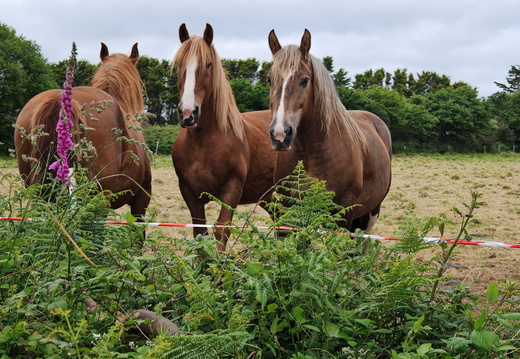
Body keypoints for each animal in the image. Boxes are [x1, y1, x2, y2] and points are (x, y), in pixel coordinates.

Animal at [171, 23, 276, 252]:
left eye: (208, 65)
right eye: (179, 65)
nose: (188, 113)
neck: (203, 142)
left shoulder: (231, 191)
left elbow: (221, 232)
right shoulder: (189, 193)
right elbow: (200, 234)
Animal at [266, 30, 392, 233]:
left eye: (305, 80)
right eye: (269, 79)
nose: (280, 134)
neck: (312, 154)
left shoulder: (343, 213)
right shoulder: (290, 212)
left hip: (370, 214)